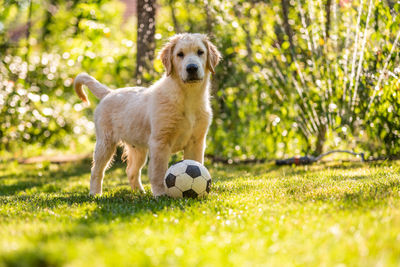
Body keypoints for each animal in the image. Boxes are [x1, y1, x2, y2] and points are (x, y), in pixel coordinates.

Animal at [73, 33, 220, 197]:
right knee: (96, 170)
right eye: (180, 54)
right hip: (105, 142)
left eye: (200, 52)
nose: (192, 68)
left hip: (138, 148)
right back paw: (95, 193)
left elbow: (196, 164)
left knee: (131, 171)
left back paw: (139, 192)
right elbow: (158, 171)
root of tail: (109, 92)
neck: (188, 96)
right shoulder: (160, 142)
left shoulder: (196, 141)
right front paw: (161, 194)